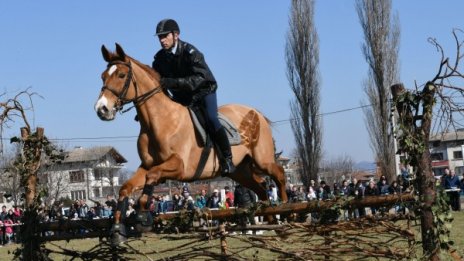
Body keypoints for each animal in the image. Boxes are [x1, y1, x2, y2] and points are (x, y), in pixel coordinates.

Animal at [94, 42, 286, 240]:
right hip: (240, 171)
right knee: (261, 188)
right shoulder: (147, 165)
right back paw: (271, 219)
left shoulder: (179, 167)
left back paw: (285, 212)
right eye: (103, 76)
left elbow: (152, 177)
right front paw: (118, 229)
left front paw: (142, 214)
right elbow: (126, 188)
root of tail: (256, 113)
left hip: (263, 160)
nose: (101, 109)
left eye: (121, 75)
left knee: (279, 176)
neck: (159, 120)